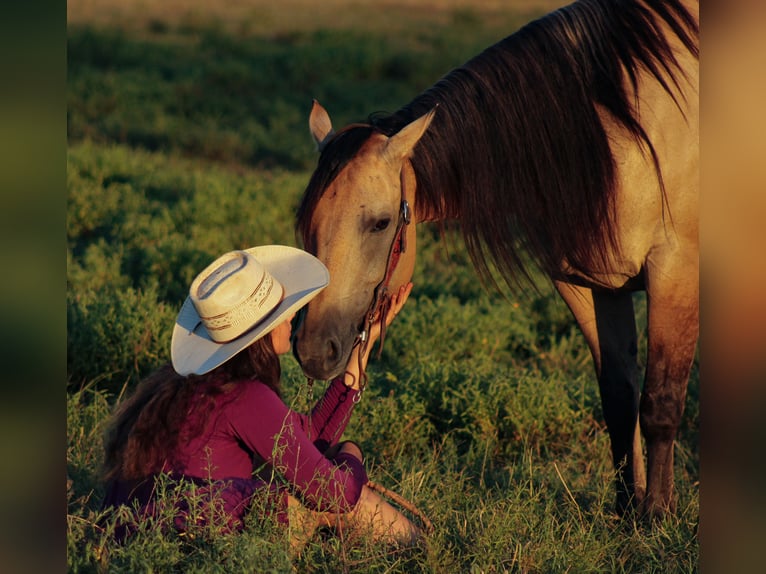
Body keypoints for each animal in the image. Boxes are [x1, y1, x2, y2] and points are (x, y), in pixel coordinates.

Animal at [293, 0, 698, 519]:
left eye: (381, 223)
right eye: (306, 222)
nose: (311, 349)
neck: (614, 134)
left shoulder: (676, 273)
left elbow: (660, 402)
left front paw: (657, 516)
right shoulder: (593, 284)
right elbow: (619, 398)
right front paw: (627, 510)